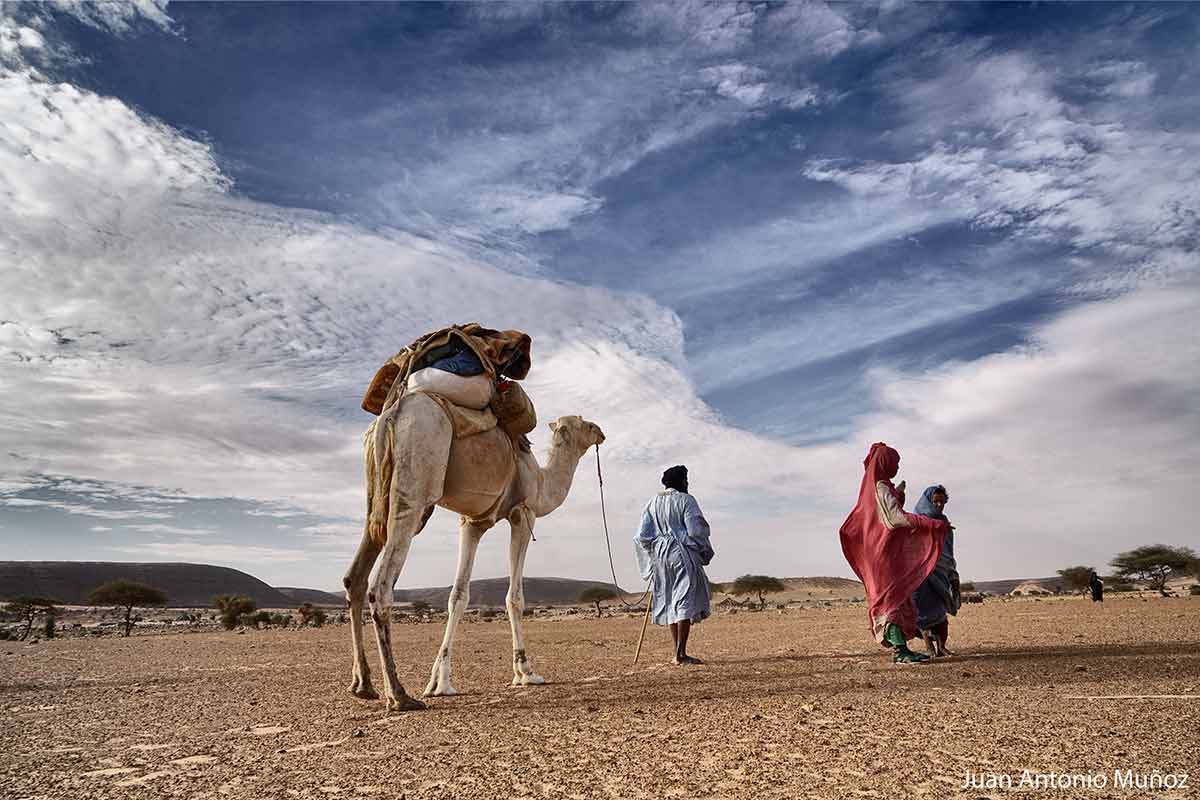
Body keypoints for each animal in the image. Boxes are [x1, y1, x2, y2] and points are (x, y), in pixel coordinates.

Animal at [343, 391, 604, 710]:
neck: (540, 482)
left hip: (376, 497)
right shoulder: (523, 514)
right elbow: (514, 598)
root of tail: (390, 413)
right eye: (586, 424)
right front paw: (526, 672)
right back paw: (399, 694)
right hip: (413, 486)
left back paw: (363, 685)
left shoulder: (473, 523)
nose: (601, 432)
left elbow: (458, 596)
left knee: (355, 578)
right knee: (380, 588)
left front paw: (440, 682)